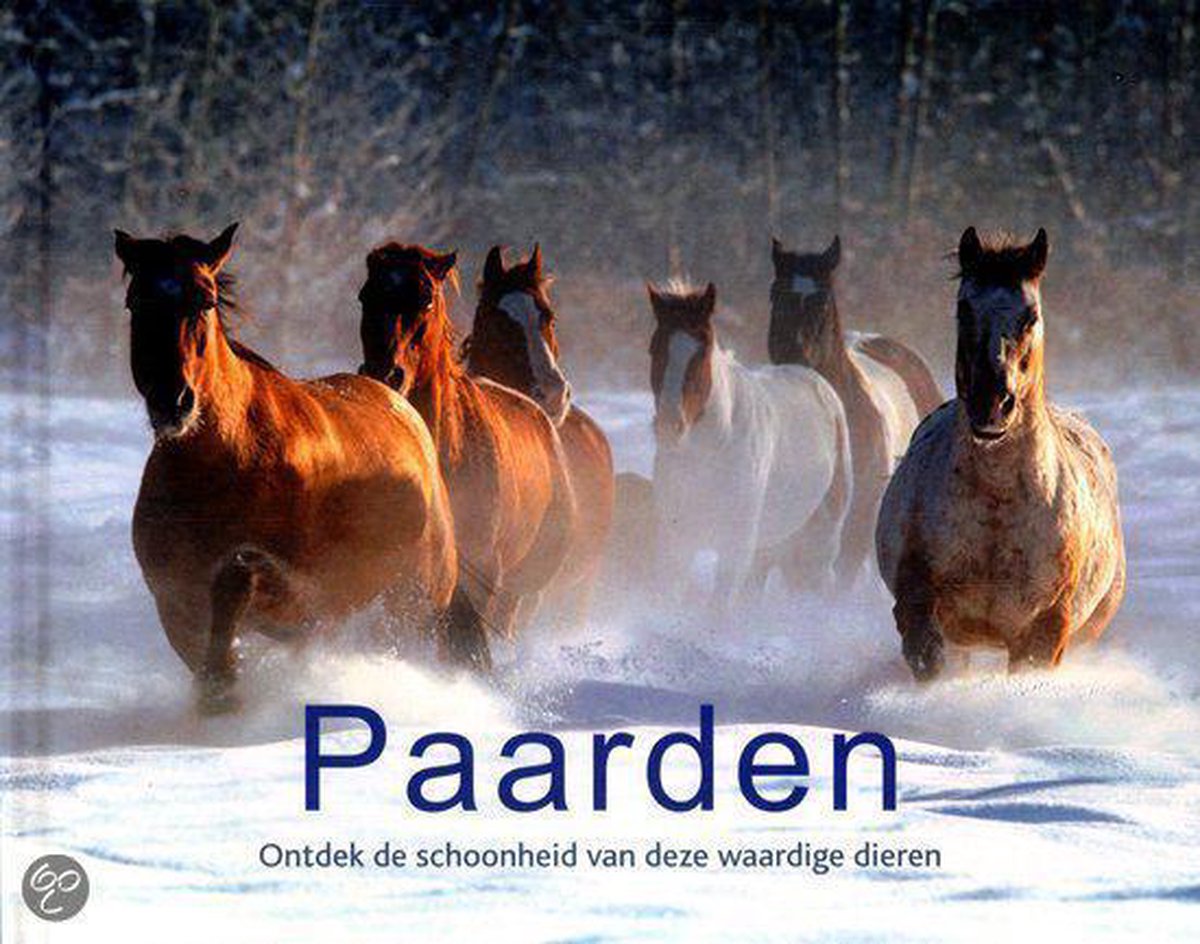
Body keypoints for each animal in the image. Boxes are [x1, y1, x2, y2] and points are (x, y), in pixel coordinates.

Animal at [115, 224, 460, 713]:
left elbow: (236, 591)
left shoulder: (291, 588)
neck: (223, 463)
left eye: (205, 300)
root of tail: (399, 403)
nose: (173, 401)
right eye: (135, 302)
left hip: (413, 598)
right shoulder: (172, 592)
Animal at [648, 281, 852, 606]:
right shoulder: (675, 541)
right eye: (654, 348)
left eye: (702, 351)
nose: (669, 425)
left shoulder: (735, 546)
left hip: (822, 540)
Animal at [876, 228, 1125, 680]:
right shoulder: (919, 608)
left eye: (1031, 316)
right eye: (963, 310)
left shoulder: (1045, 630)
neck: (997, 503)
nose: (991, 405)